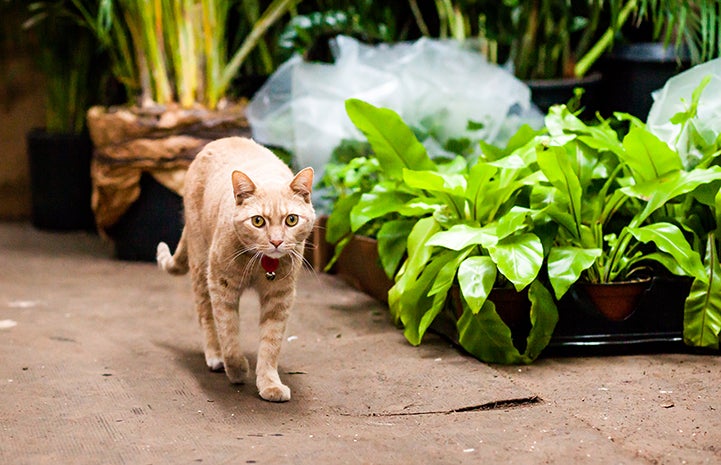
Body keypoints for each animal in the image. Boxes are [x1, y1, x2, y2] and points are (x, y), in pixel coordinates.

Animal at [156, 136, 314, 400]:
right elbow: (228, 332)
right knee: (205, 316)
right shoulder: (221, 285)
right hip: (201, 266)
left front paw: (269, 384)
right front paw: (237, 369)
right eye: (258, 221)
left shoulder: (280, 296)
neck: (261, 263)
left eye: (291, 220)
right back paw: (214, 356)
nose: (276, 241)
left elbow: (271, 342)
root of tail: (222, 139)